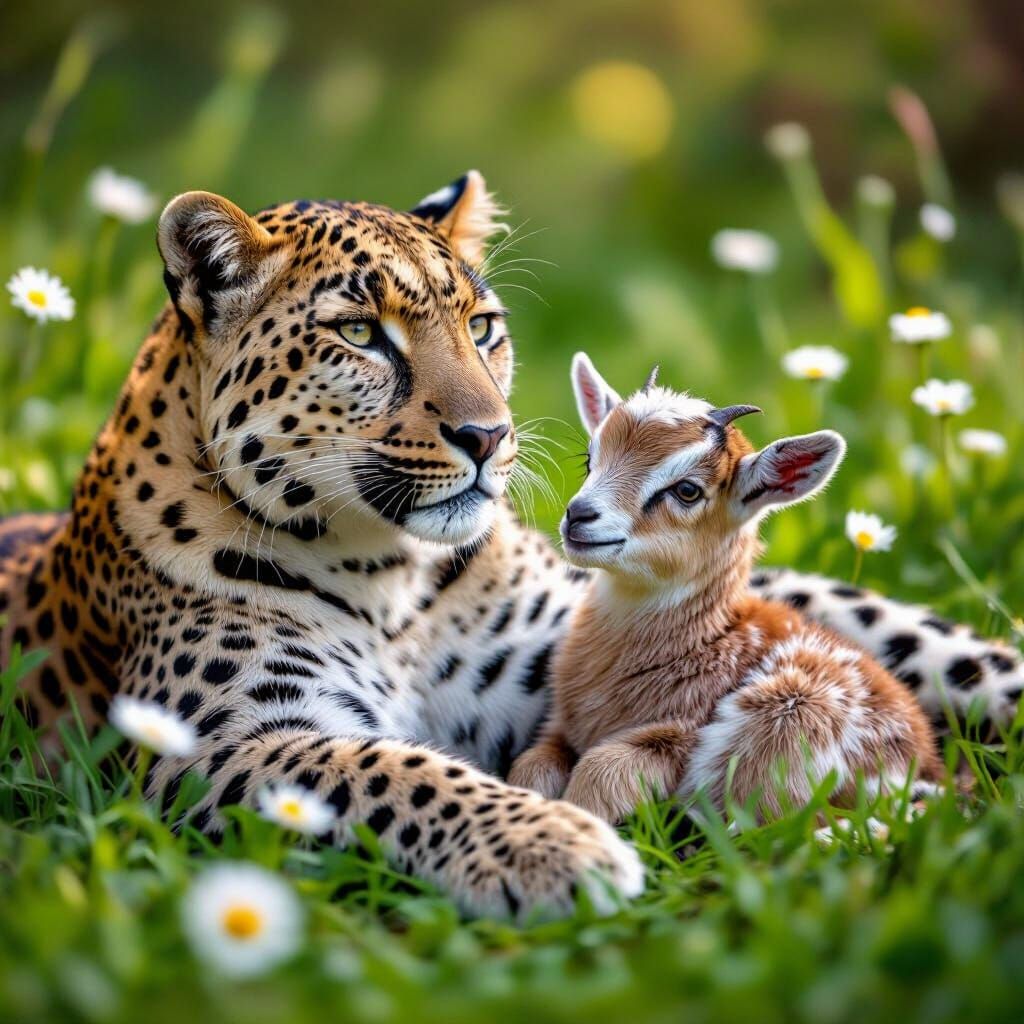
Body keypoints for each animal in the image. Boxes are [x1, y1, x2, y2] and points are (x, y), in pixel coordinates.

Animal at [1, 171, 1020, 918]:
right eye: (360, 333)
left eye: (482, 327)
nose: (488, 437)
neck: (388, 575)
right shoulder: (215, 746)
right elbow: (394, 771)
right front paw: (555, 845)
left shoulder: (575, 652)